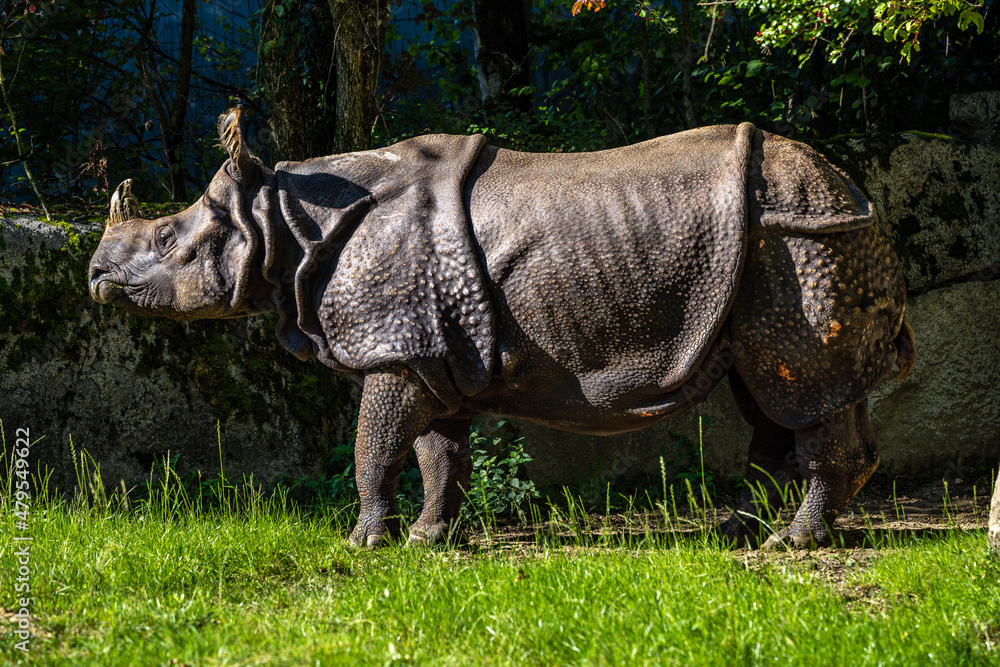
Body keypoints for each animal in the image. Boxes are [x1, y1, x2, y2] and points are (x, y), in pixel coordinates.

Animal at [89, 109, 914, 549]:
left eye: (168, 240)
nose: (95, 274)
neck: (286, 222)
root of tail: (857, 191)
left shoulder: (395, 348)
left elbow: (373, 449)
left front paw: (363, 543)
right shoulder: (427, 347)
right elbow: (437, 455)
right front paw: (427, 539)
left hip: (797, 238)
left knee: (793, 383)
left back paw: (789, 542)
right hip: (783, 242)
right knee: (771, 388)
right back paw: (739, 531)